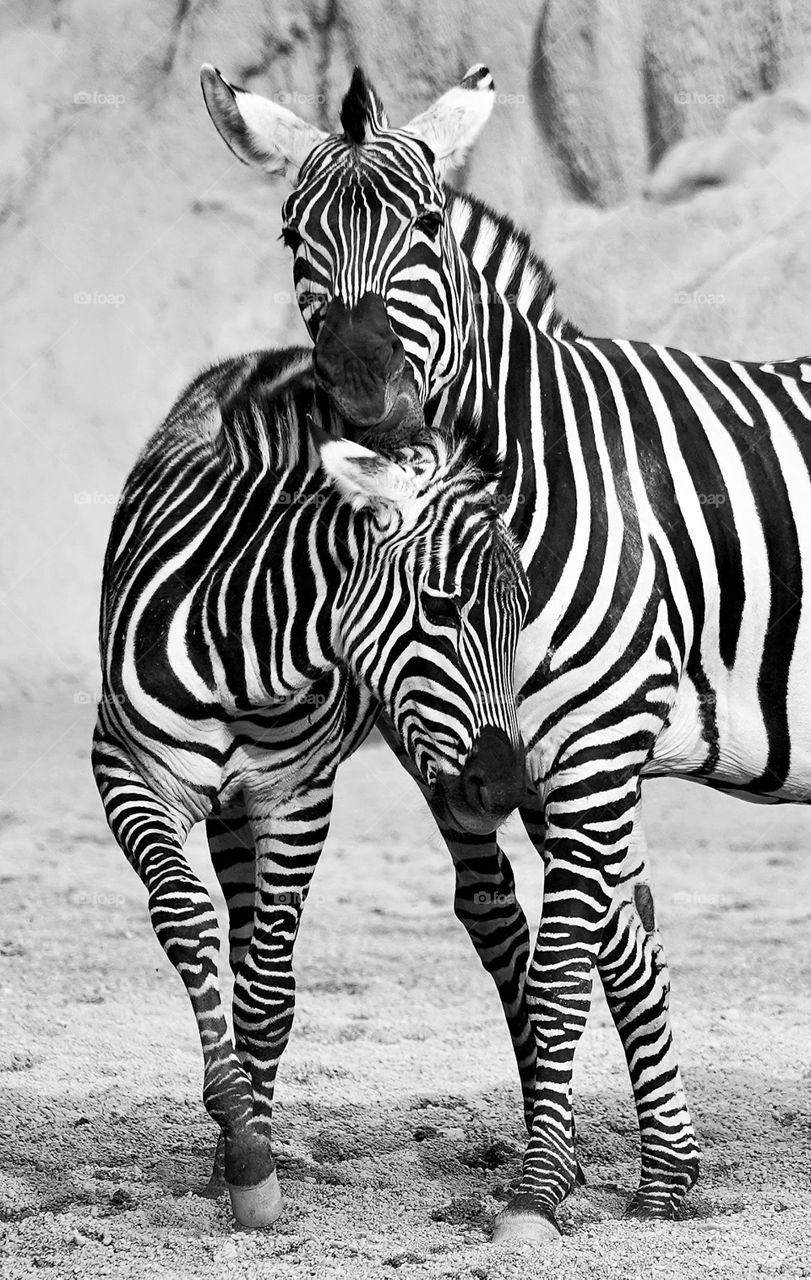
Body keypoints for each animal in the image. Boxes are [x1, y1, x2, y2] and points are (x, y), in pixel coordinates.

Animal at [92, 350, 530, 1229]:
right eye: (440, 606)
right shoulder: (124, 764)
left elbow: (269, 987)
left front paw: (252, 1163)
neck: (243, 658)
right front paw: (238, 1135)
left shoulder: (297, 795)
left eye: (523, 612)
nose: (501, 787)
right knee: (231, 929)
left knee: (494, 917)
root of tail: (281, 353)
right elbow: (186, 920)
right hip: (244, 809)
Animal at [201, 60, 811, 1242]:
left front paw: (536, 1189)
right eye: (293, 235)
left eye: (428, 225)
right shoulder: (515, 752)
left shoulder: (597, 739)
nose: (362, 395)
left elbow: (574, 946)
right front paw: (662, 1173)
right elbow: (610, 937)